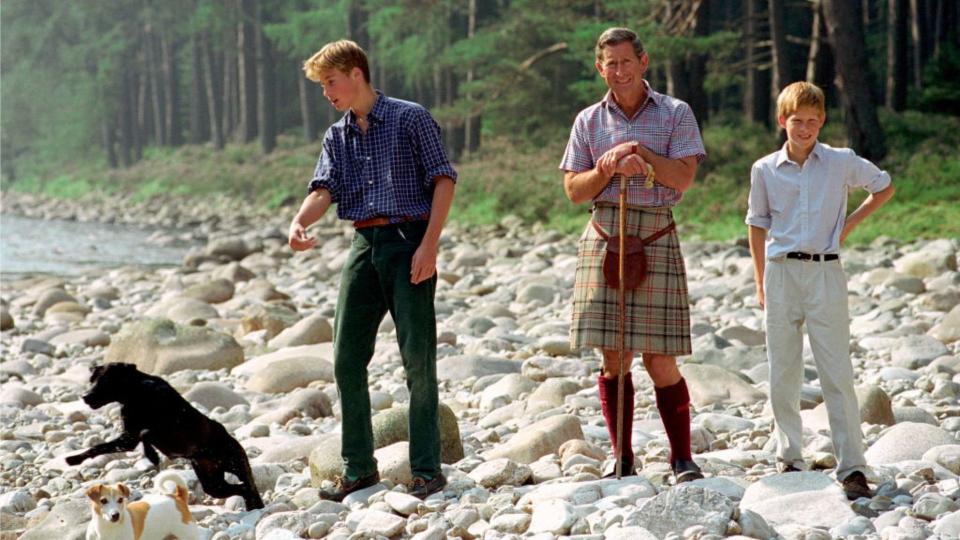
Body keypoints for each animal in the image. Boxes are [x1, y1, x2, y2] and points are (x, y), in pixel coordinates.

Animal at [66, 362, 264, 510]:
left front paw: (152, 455)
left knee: (248, 486)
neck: (137, 392)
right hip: (213, 483)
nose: (85, 396)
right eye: (92, 380)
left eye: (105, 381)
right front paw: (75, 459)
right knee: (241, 489)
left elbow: (145, 433)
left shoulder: (146, 434)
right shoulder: (128, 438)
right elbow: (98, 447)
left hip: (236, 464)